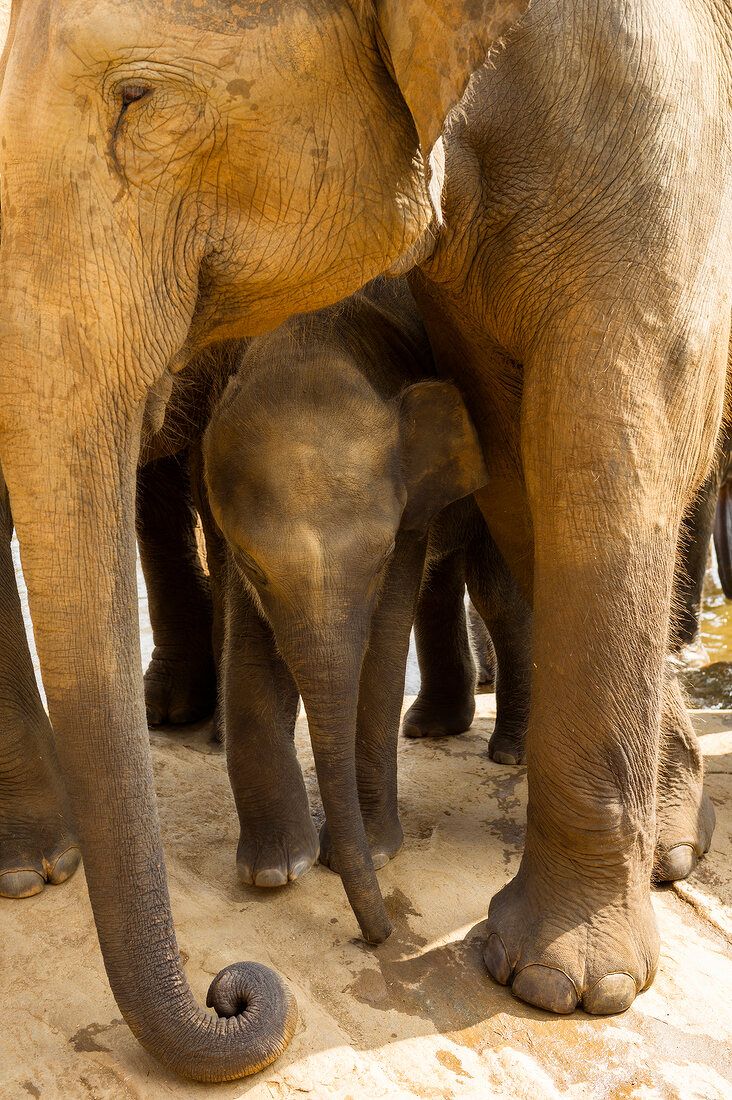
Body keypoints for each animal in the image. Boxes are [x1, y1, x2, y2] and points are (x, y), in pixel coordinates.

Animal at [202, 277, 528, 946]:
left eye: (377, 558)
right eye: (252, 565)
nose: (379, 937)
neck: (309, 335)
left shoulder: (403, 518)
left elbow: (382, 646)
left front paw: (372, 852)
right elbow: (249, 651)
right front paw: (275, 870)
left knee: (495, 593)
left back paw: (509, 752)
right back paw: (434, 728)